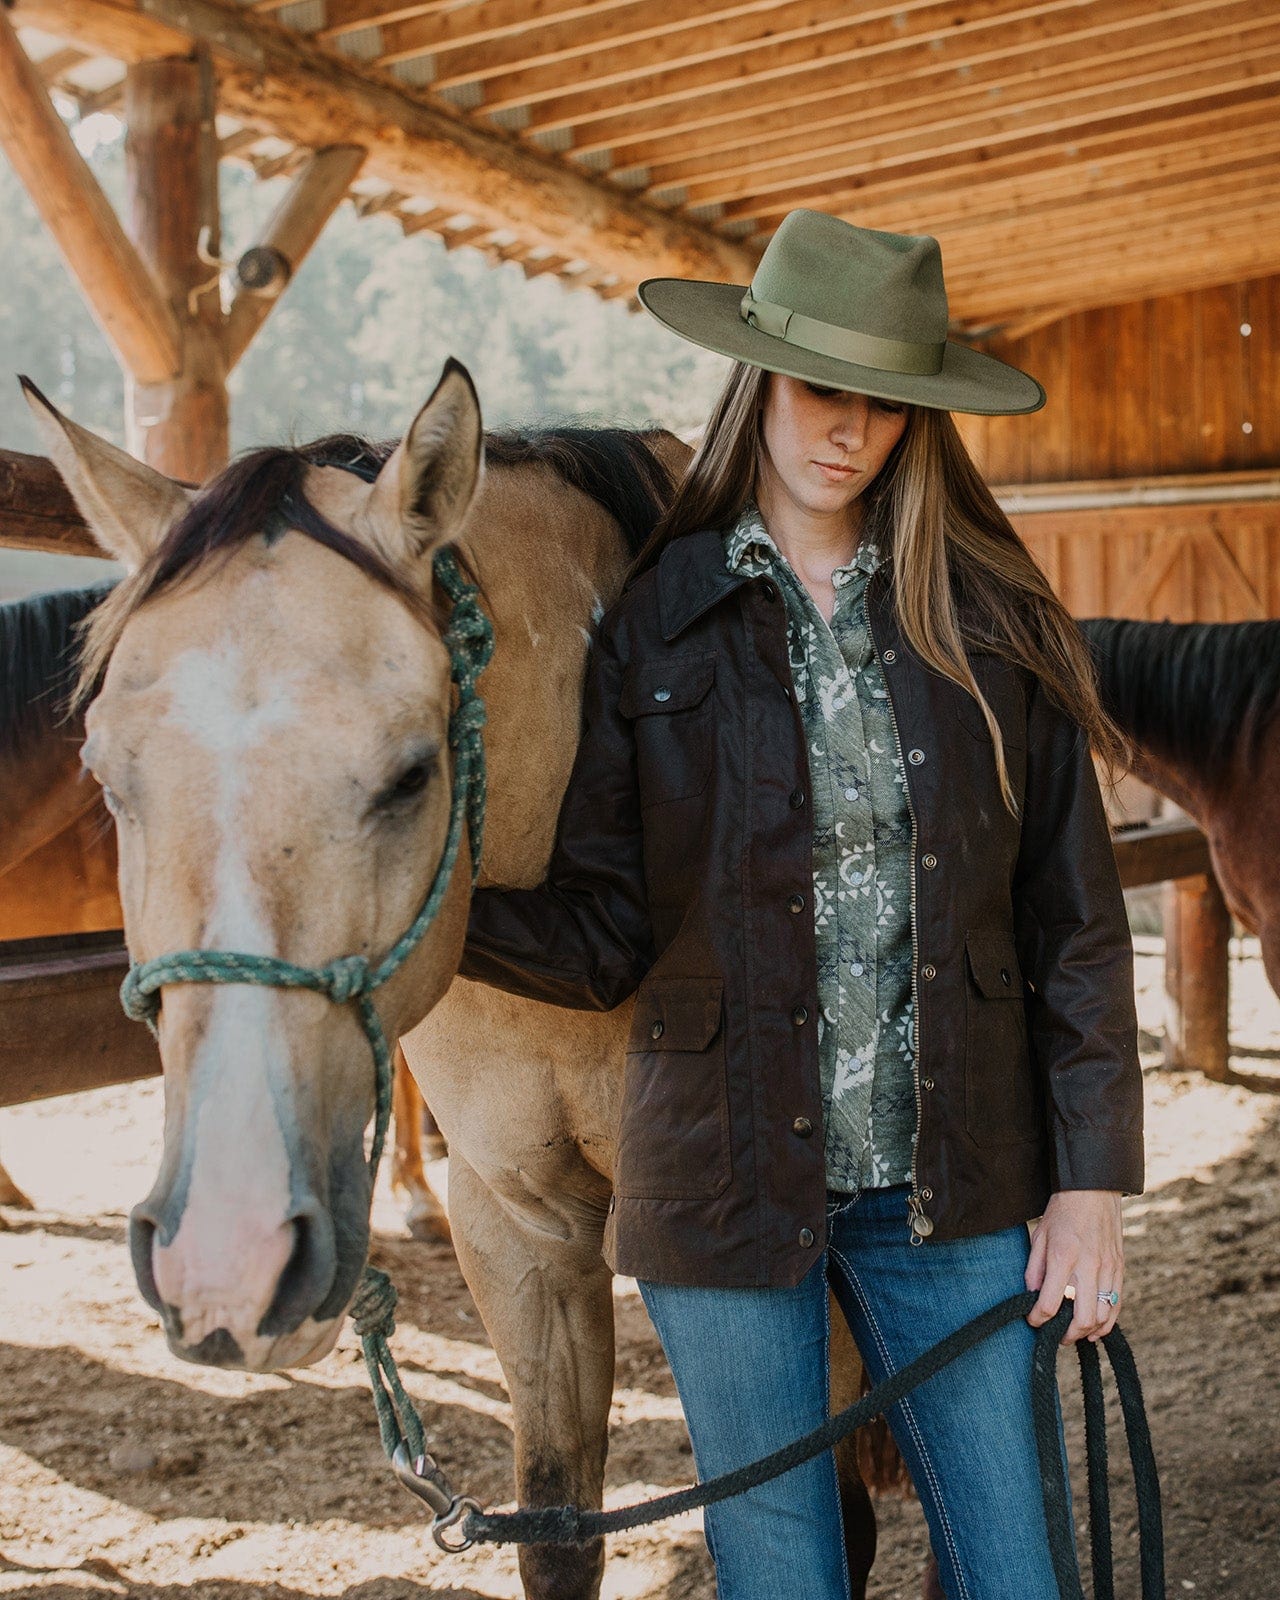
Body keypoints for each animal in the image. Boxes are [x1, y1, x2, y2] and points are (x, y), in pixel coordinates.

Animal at [25, 363, 928, 1600]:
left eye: (412, 774)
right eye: (109, 778)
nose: (228, 1254)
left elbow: (835, 1513)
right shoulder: (518, 1231)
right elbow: (556, 1531)